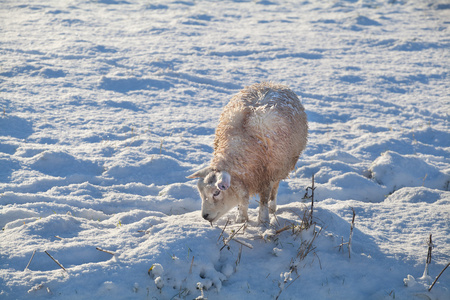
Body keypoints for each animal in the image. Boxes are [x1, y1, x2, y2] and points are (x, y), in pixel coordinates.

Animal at [187, 82, 310, 225]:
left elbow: (264, 199)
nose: (204, 216)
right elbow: (242, 201)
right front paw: (241, 219)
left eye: (216, 192)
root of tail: (273, 83)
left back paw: (272, 208)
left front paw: (263, 221)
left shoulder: (267, 174)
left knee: (275, 188)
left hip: (282, 166)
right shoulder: (244, 180)